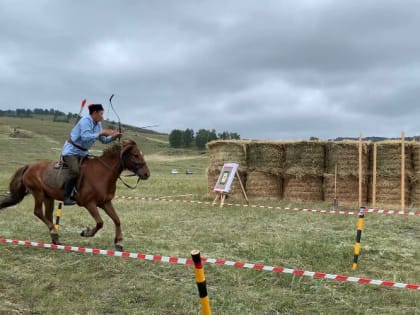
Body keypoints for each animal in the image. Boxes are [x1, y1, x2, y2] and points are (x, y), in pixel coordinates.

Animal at [0, 139, 150, 251]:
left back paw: (55, 238)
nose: (146, 174)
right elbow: (100, 222)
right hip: (38, 193)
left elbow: (117, 220)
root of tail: (29, 166)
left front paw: (118, 243)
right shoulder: (89, 204)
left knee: (47, 215)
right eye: (136, 155)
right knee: (38, 212)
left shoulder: (105, 203)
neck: (102, 173)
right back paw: (54, 233)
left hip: (49, 197)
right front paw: (86, 232)